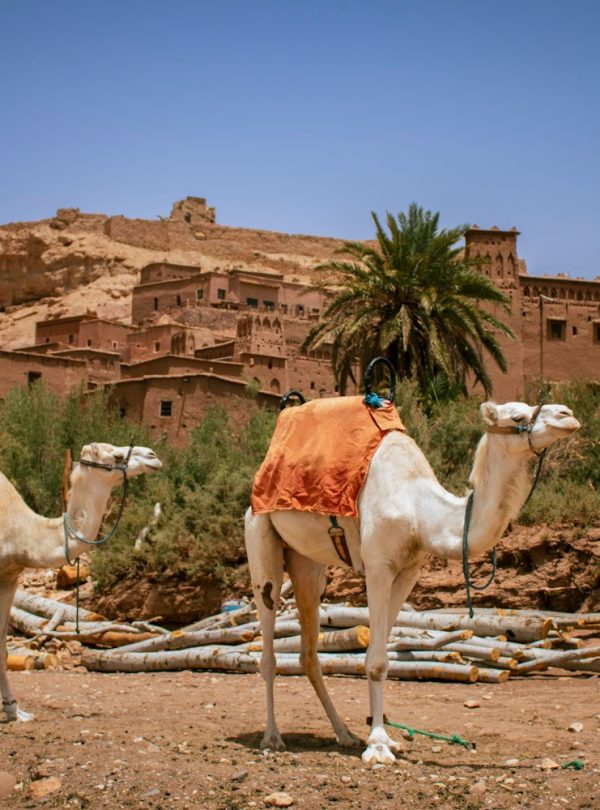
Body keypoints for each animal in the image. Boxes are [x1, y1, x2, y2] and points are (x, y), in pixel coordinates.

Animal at [0, 442, 162, 722]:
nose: (153, 456)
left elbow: (1, 647)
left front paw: (15, 712)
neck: (22, 532)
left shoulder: (10, 576)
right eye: (117, 455)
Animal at [245, 399, 580, 764]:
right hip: (260, 536)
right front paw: (377, 746)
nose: (568, 416)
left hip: (307, 562)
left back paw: (344, 734)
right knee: (267, 640)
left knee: (308, 652)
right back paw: (272, 737)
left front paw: (384, 738)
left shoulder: (409, 571)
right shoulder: (378, 566)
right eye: (518, 416)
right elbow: (376, 661)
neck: (421, 511)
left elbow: (381, 653)